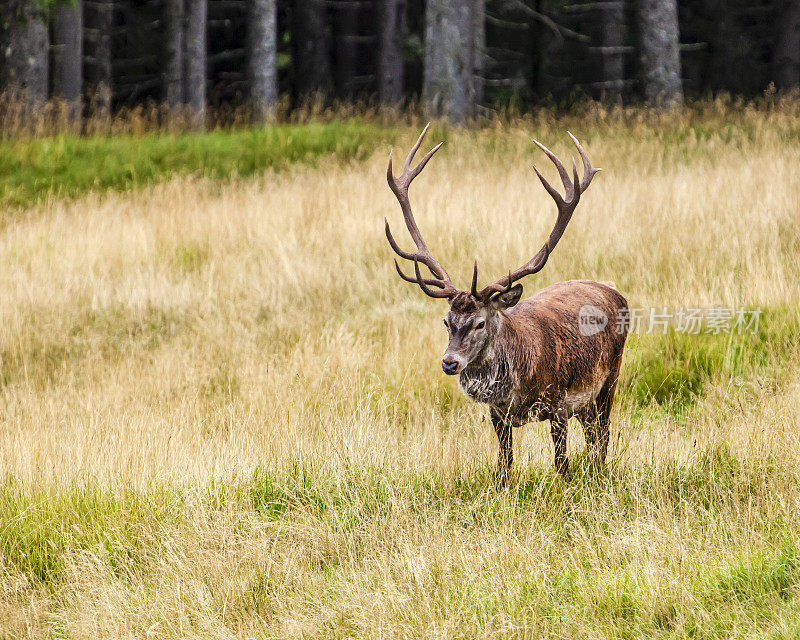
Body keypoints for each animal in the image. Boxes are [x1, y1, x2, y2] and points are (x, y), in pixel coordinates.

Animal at [384, 125, 628, 484]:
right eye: (446, 321)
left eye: (480, 322)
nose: (450, 363)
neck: (519, 384)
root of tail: (614, 291)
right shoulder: (497, 413)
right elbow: (505, 463)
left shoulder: (558, 402)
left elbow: (561, 464)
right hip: (586, 403)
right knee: (593, 435)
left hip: (608, 381)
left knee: (604, 435)